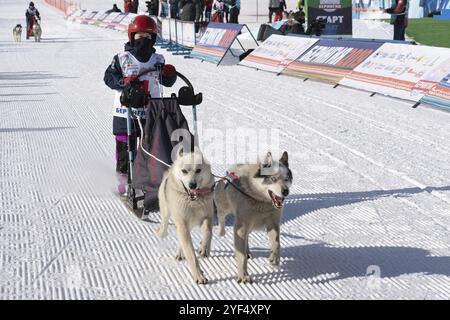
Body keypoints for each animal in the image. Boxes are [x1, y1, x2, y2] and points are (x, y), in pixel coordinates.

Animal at [156, 146, 216, 284]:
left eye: (198, 170)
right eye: (184, 171)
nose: (192, 185)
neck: (193, 202)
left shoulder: (207, 217)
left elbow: (208, 232)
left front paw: (204, 247)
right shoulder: (182, 224)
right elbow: (191, 254)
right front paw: (199, 276)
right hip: (167, 215)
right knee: (165, 228)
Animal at [215, 151, 294, 284]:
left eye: (287, 179)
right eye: (273, 179)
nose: (285, 192)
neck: (259, 199)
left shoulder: (273, 224)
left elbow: (277, 243)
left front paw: (275, 259)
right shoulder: (240, 228)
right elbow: (241, 257)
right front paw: (243, 275)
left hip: (249, 226)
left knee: (246, 238)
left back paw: (248, 251)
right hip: (225, 206)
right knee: (221, 215)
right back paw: (219, 233)